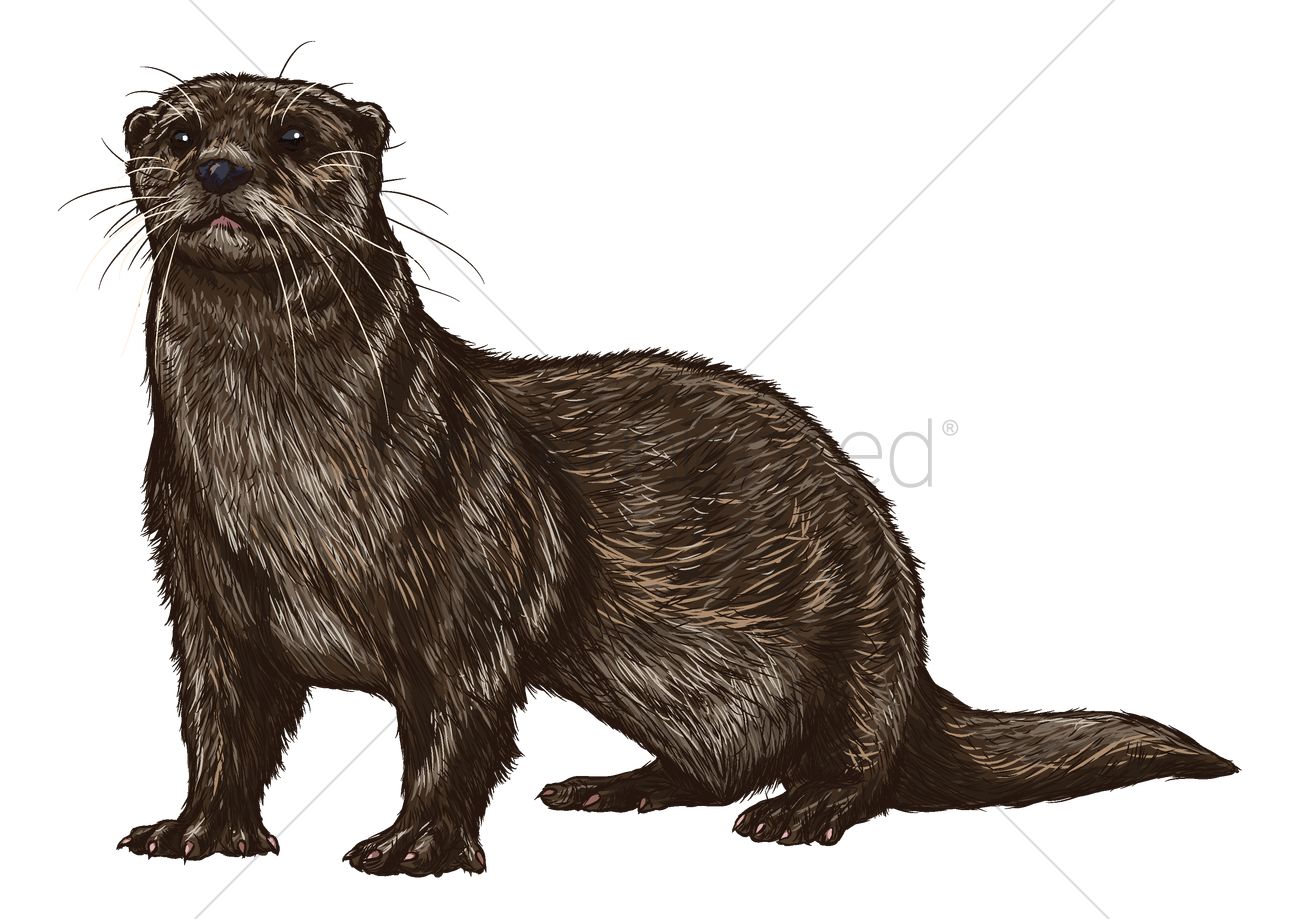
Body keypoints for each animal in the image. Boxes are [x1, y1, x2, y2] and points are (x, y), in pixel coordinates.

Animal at [106, 72, 1234, 877]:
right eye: (179, 133)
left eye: (295, 137)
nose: (220, 170)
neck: (285, 487)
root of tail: (920, 668)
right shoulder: (201, 576)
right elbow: (218, 719)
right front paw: (196, 829)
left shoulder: (477, 554)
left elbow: (459, 721)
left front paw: (415, 844)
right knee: (720, 761)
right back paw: (615, 785)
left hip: (865, 616)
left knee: (862, 757)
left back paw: (799, 809)